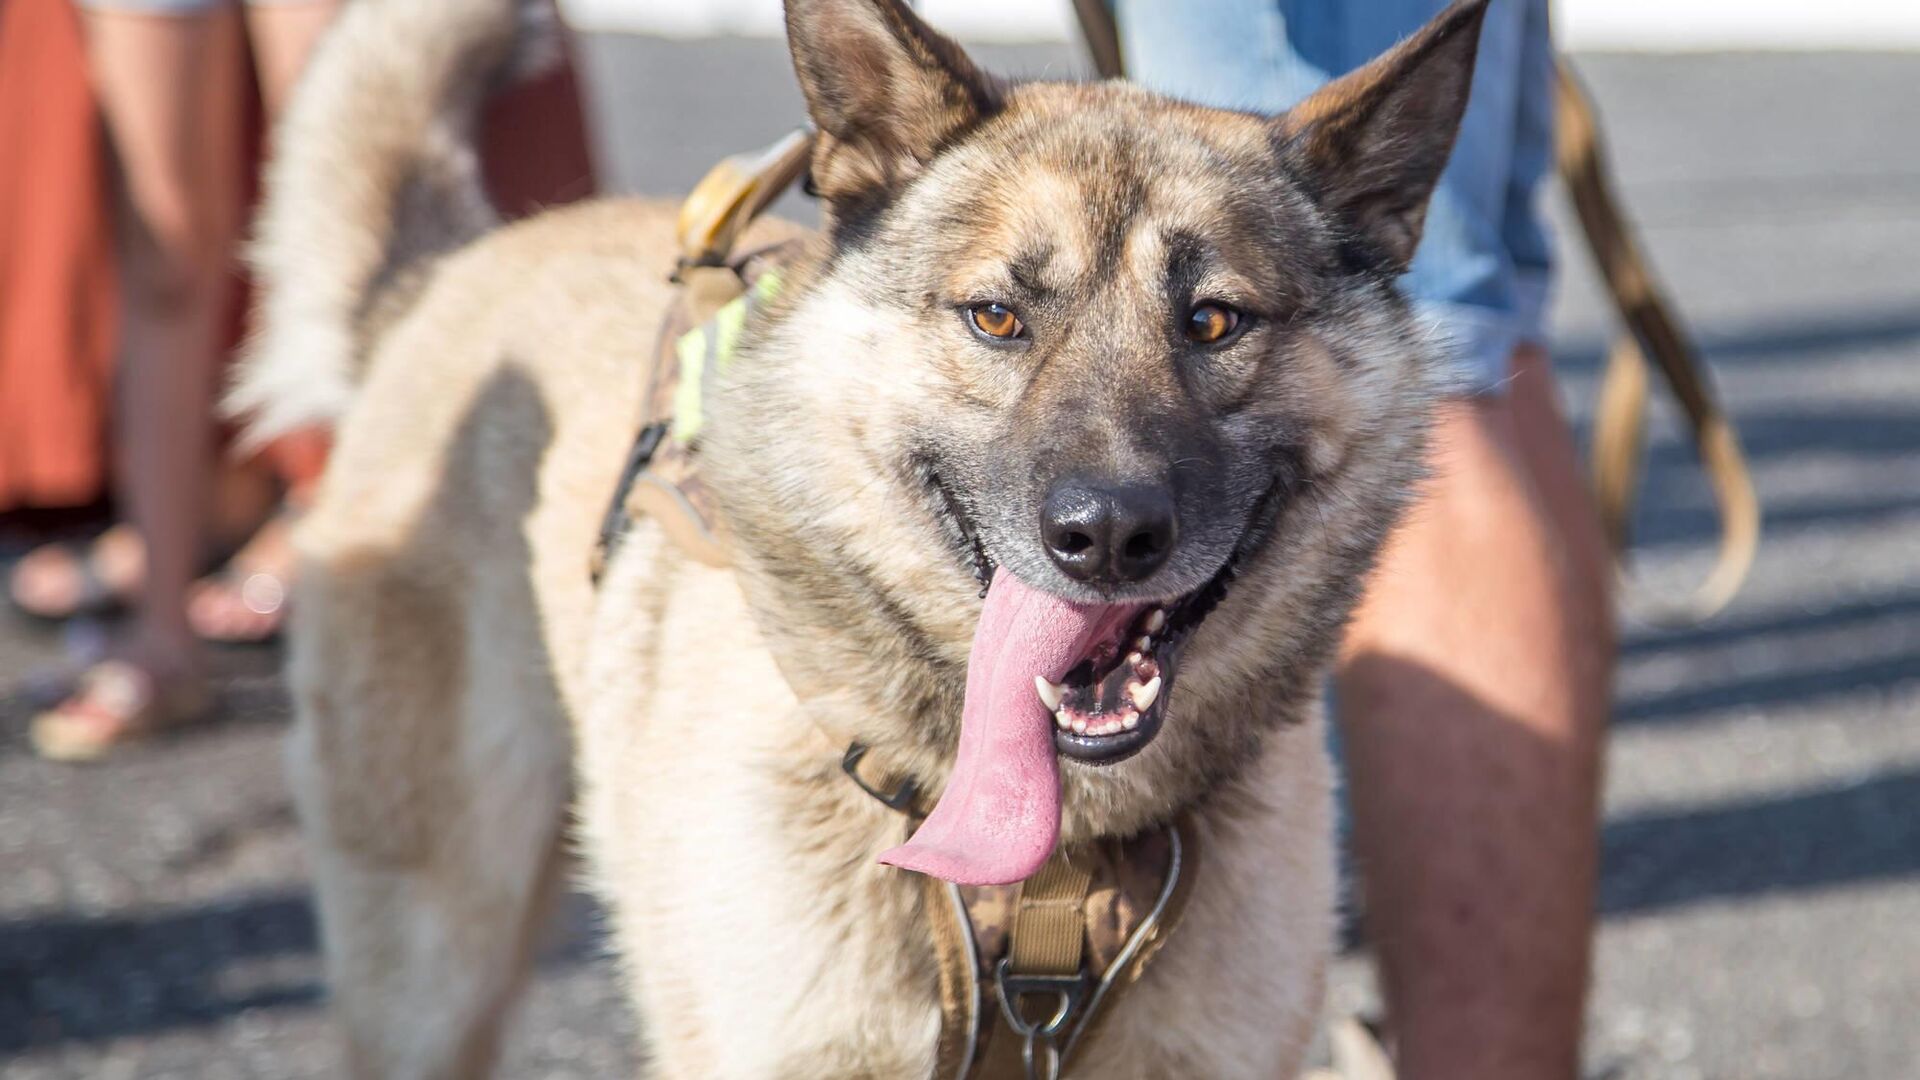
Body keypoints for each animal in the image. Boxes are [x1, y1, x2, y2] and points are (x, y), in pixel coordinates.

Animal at [236, 0, 1482, 1060]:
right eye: (996, 317)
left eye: (1214, 322)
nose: (1108, 536)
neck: (1035, 857)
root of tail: (437, 280)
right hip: (434, 966)